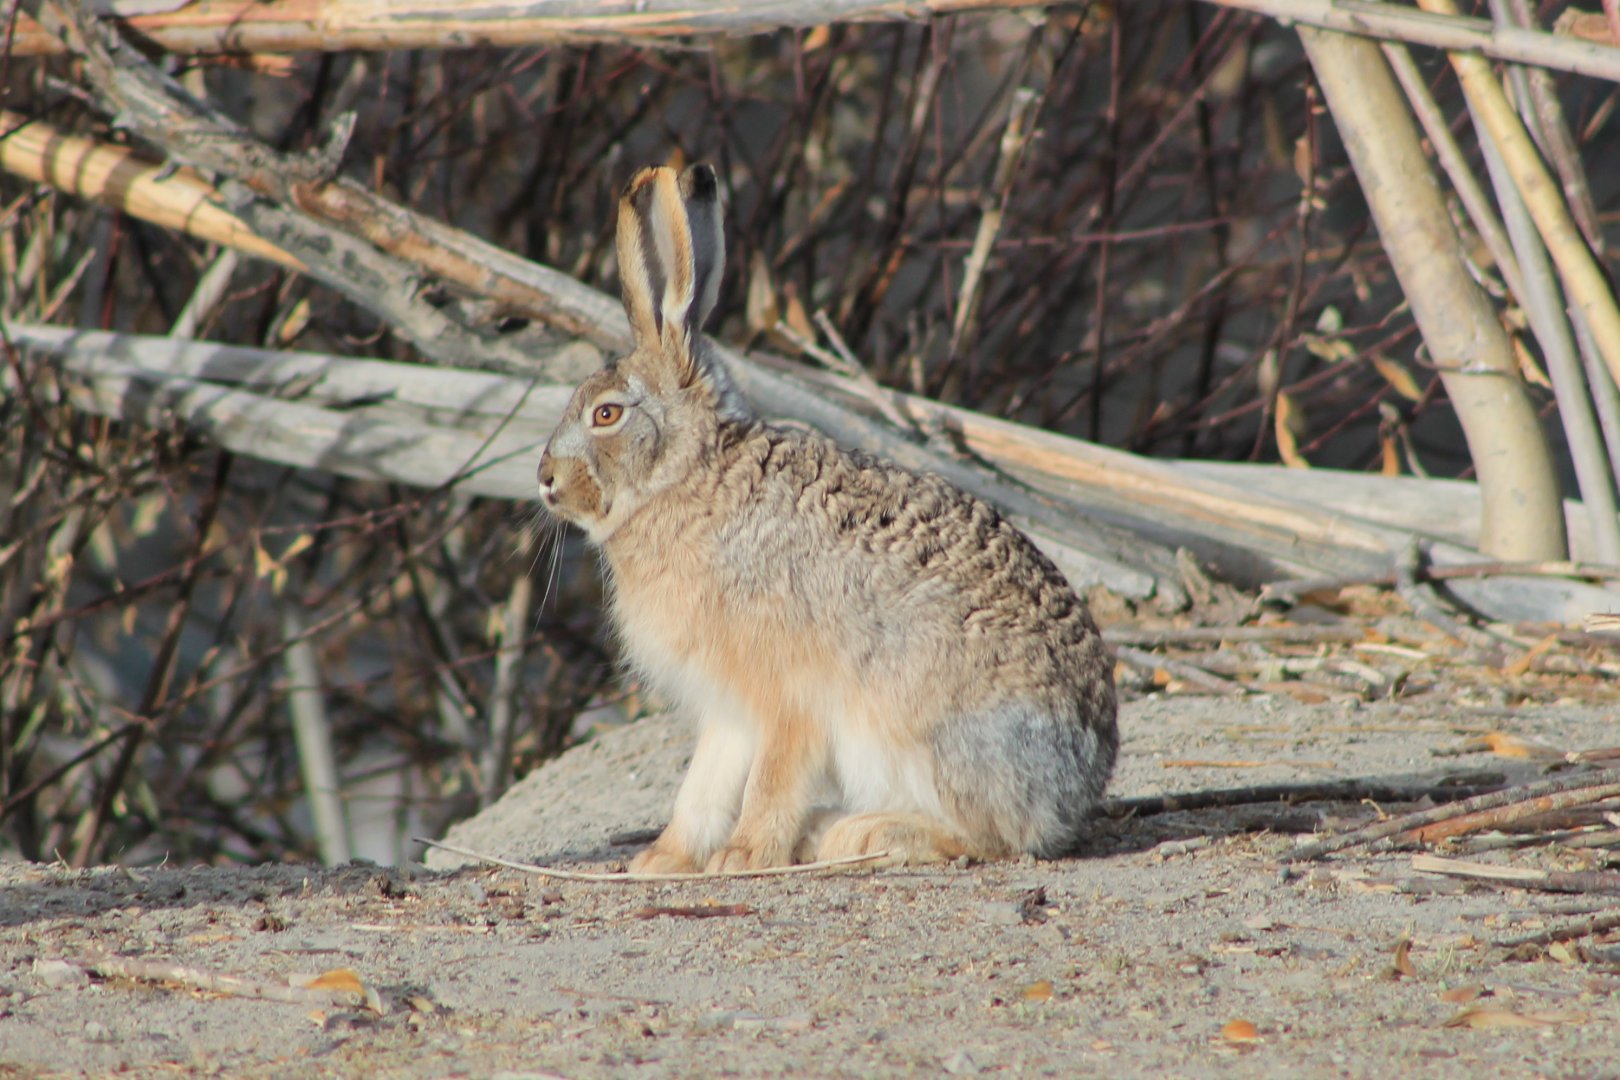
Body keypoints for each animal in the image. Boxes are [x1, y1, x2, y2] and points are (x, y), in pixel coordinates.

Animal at [537, 163, 1117, 873]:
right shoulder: (729, 707)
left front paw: (743, 858)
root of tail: (1079, 788)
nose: (545, 481)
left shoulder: (787, 693)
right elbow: (703, 784)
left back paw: (857, 835)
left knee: (991, 838)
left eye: (607, 414)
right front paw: (663, 861)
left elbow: (771, 777)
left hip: (926, 725)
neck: (692, 475)